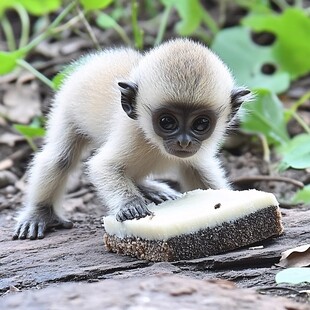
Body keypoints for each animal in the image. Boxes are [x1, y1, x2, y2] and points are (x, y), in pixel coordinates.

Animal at [13, 38, 252, 240]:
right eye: (167, 121)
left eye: (201, 124)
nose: (184, 141)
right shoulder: (131, 132)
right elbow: (103, 166)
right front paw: (129, 205)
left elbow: (198, 170)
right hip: (66, 105)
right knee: (59, 158)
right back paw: (40, 213)